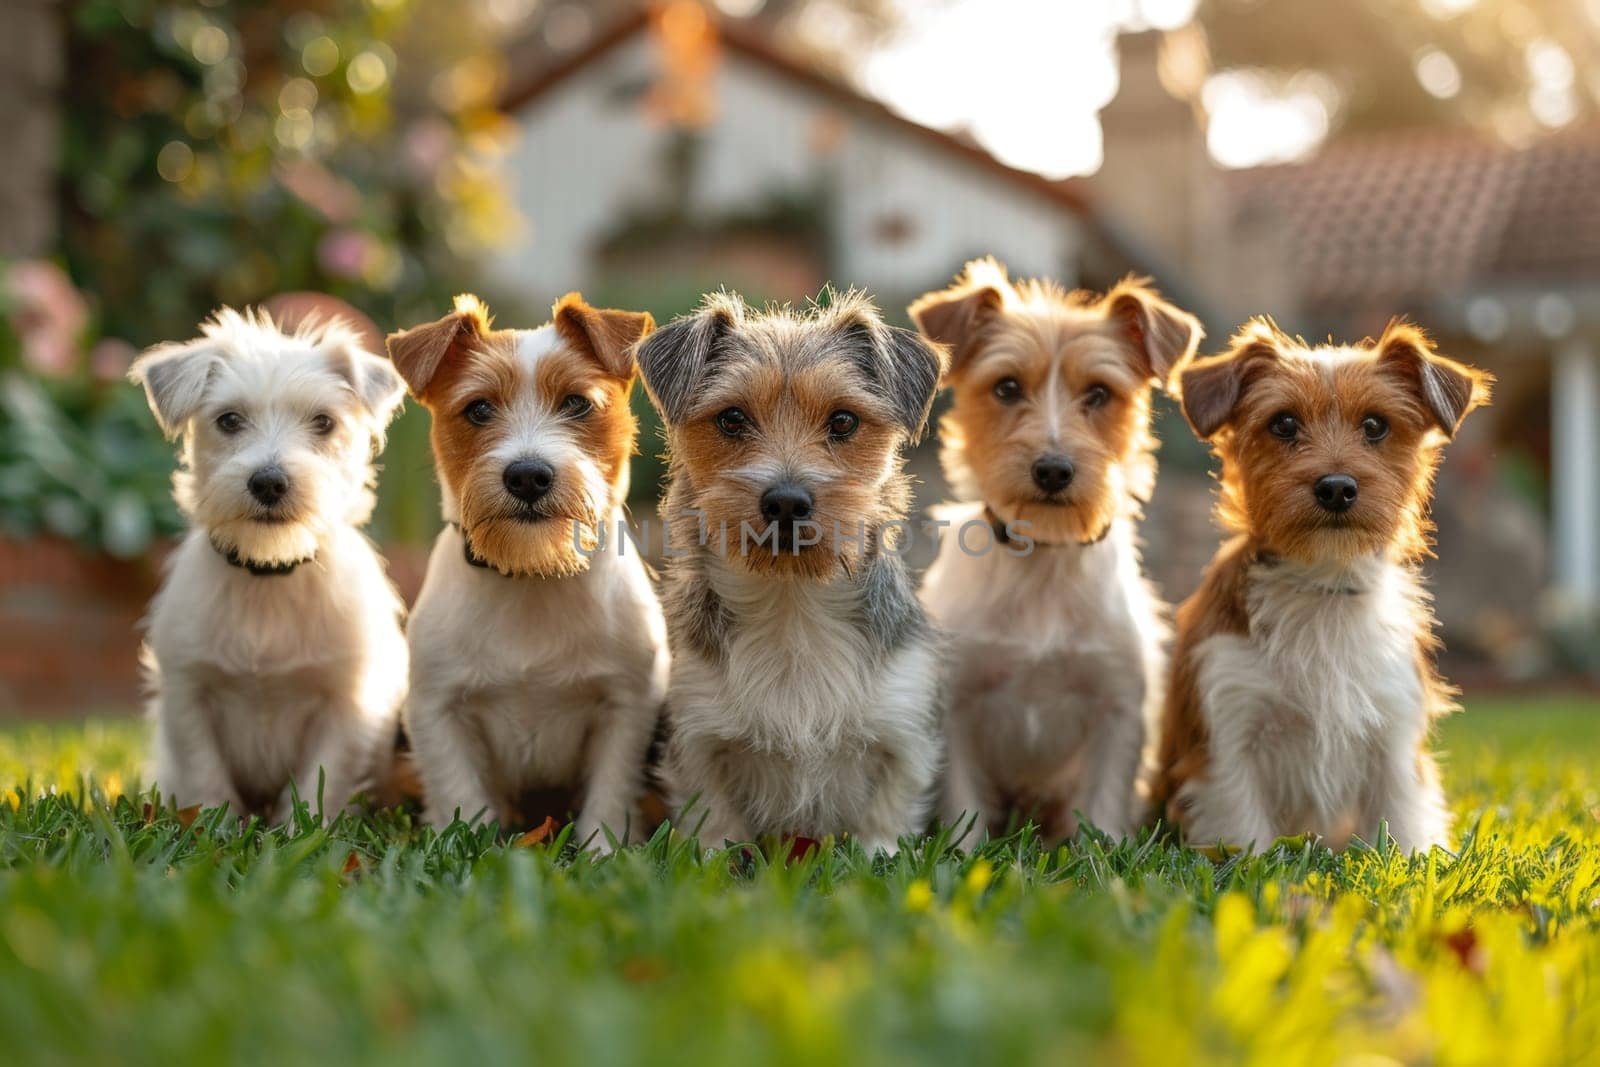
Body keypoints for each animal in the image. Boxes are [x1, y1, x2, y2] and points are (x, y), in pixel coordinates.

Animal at [130, 303, 409, 825]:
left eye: (323, 422)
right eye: (229, 420)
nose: (269, 482)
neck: (269, 573)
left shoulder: (345, 702)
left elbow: (321, 778)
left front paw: (303, 829)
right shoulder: (189, 692)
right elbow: (205, 775)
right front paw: (211, 828)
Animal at [387, 289, 668, 844]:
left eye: (577, 403)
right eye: (478, 409)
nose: (528, 475)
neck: (532, 572)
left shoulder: (626, 705)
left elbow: (610, 792)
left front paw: (603, 850)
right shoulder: (437, 708)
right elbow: (460, 793)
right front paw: (466, 846)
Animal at [636, 287, 947, 857]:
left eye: (843, 421)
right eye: (732, 419)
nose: (785, 501)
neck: (792, 607)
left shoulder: (903, 728)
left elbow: (886, 817)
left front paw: (881, 856)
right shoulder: (698, 735)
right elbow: (714, 823)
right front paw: (715, 859)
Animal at [915, 260, 1203, 844]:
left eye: (1098, 393)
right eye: (1006, 387)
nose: (1052, 469)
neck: (1045, 557)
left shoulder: (1117, 707)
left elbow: (1102, 811)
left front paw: (1100, 855)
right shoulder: (957, 705)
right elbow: (963, 809)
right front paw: (962, 854)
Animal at [1158, 316, 1491, 851]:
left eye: (1375, 425)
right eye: (1283, 424)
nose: (1336, 487)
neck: (1322, 587)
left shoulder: (1394, 737)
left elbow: (1402, 828)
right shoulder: (1228, 737)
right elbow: (1246, 838)